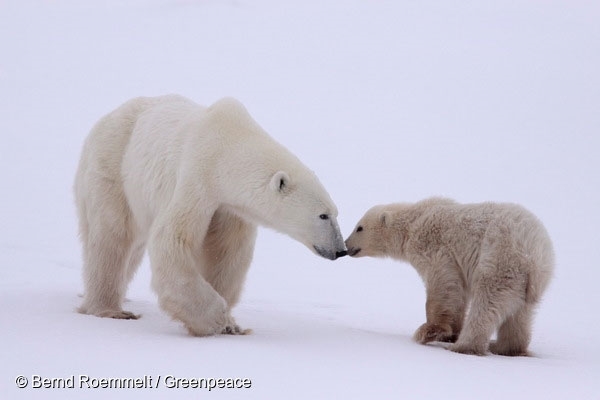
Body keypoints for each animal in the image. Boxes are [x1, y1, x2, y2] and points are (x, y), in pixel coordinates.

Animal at [74, 95, 346, 336]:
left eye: (336, 213)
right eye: (323, 215)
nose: (340, 249)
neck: (228, 145)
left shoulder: (229, 206)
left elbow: (227, 252)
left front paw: (232, 325)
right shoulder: (197, 178)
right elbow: (173, 240)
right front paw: (216, 319)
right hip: (114, 165)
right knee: (112, 237)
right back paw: (110, 309)